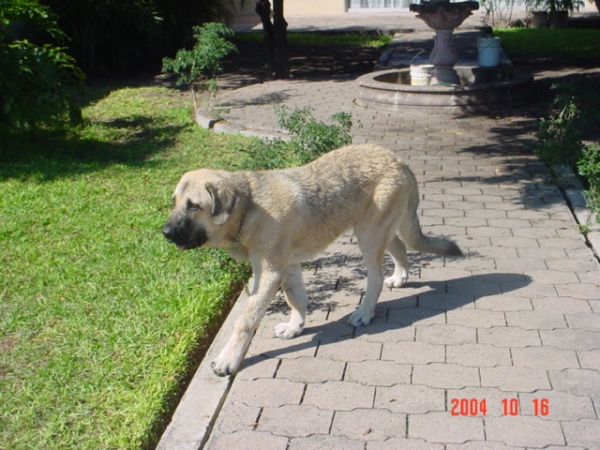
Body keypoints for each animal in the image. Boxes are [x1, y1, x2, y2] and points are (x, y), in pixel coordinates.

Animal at [162, 144, 462, 376]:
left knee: (375, 277)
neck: (248, 208)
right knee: (400, 247)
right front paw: (295, 327)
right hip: (379, 232)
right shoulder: (288, 267)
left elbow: (245, 320)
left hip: (369, 235)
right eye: (175, 202)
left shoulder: (269, 273)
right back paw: (399, 277)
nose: (164, 232)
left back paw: (365, 312)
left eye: (194, 206)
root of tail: (398, 160)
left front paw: (228, 359)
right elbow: (295, 299)